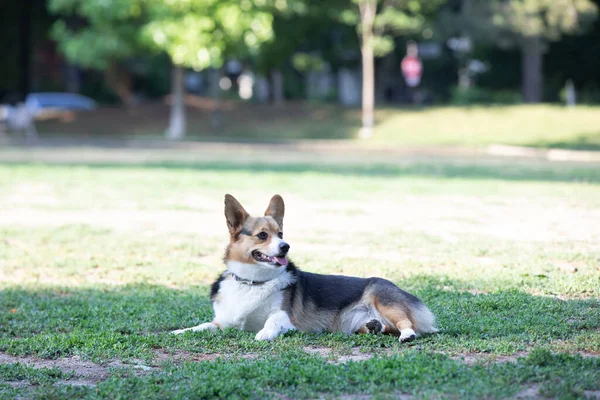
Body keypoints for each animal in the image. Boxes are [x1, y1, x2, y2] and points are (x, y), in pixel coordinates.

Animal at [171, 195, 438, 342]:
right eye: (262, 235)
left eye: (280, 234)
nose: (285, 247)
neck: (252, 282)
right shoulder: (222, 322)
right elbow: (202, 326)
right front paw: (180, 331)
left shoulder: (285, 317)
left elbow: (272, 321)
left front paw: (264, 334)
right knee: (385, 327)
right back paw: (374, 327)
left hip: (384, 300)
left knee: (407, 322)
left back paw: (406, 334)